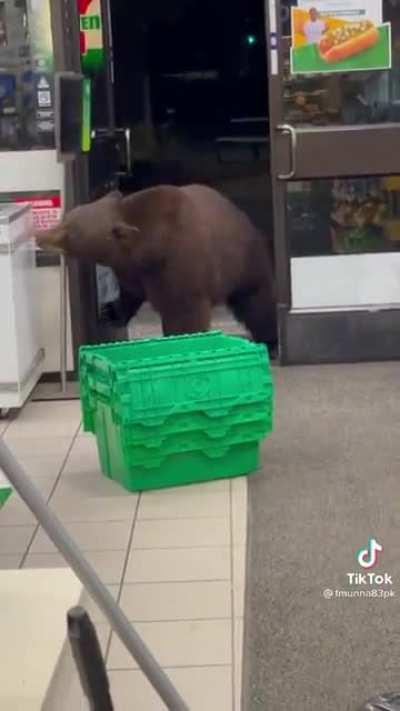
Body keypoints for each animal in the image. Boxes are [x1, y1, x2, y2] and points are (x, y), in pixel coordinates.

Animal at [36, 184, 277, 350]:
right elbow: (129, 293)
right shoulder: (132, 271)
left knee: (257, 302)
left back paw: (270, 340)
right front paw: (110, 312)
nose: (40, 236)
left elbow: (185, 312)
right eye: (67, 217)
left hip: (243, 263)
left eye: (70, 230)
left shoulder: (179, 264)